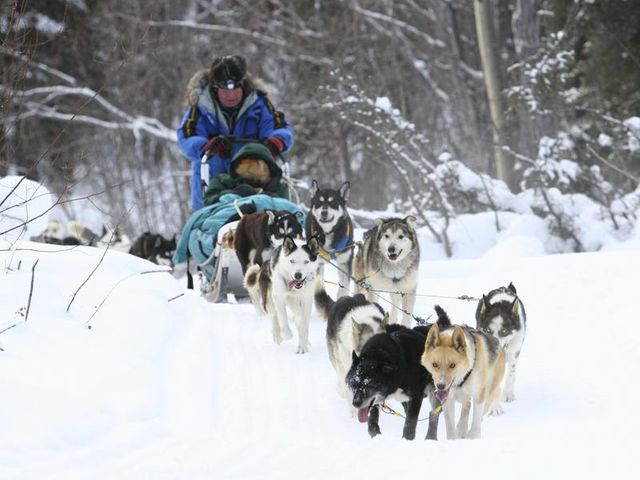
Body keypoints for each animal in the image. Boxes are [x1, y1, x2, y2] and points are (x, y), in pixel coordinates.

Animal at [420, 308, 504, 438]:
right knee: (467, 405)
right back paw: (462, 428)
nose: (440, 386)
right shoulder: (448, 400)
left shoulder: (479, 396)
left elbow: (475, 424)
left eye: (452, 365)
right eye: (434, 364)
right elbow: (450, 430)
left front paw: (472, 436)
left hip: (488, 391)